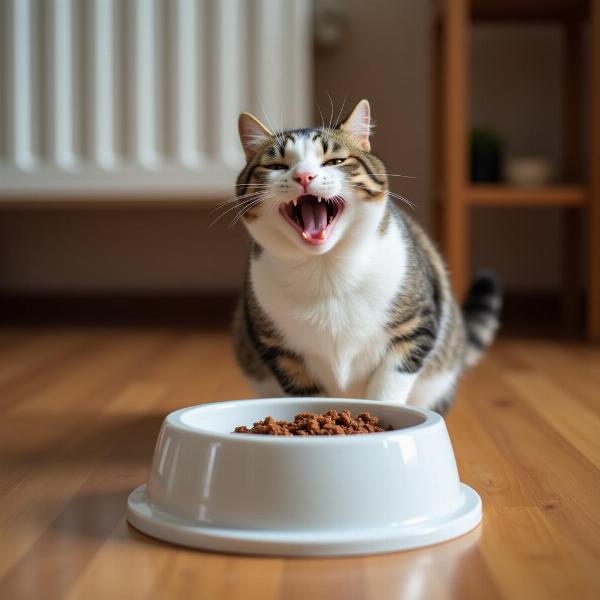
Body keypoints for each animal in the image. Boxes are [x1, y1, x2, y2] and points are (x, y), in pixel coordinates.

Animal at [232, 101, 500, 414]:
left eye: (335, 161)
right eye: (276, 166)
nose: (304, 176)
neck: (326, 269)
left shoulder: (414, 329)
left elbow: (388, 387)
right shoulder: (278, 351)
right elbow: (306, 394)